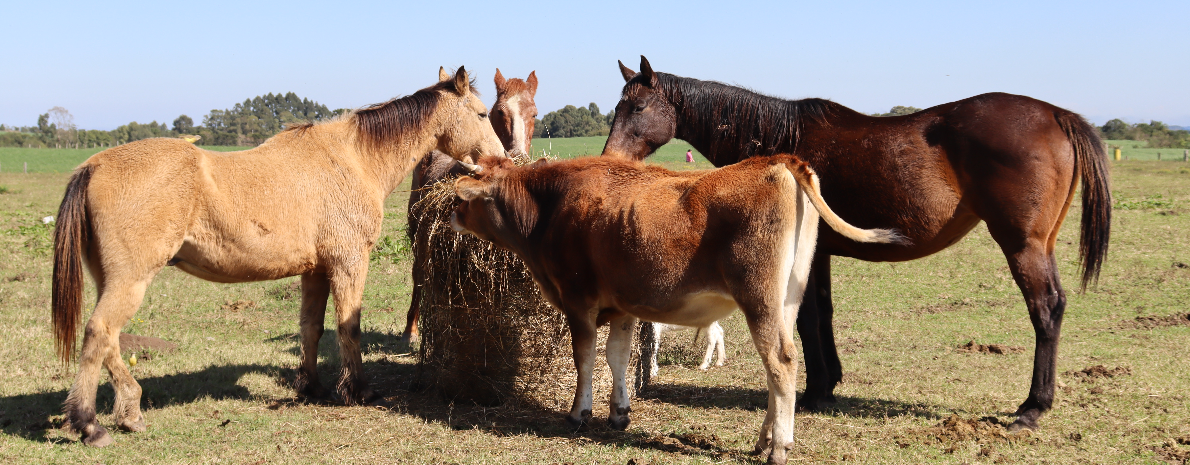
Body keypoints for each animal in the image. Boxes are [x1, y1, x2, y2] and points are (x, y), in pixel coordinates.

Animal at [49, 66, 506, 447]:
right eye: (482, 114)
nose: (500, 161)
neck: (353, 159)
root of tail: (93, 166)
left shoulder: (316, 270)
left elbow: (312, 328)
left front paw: (312, 387)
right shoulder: (349, 264)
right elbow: (349, 328)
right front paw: (357, 390)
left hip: (114, 281)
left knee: (108, 340)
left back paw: (129, 411)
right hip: (131, 280)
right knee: (99, 334)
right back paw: (90, 424)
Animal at [399, 68, 540, 344]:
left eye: (534, 114)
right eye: (500, 112)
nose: (517, 156)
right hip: (418, 233)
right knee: (418, 274)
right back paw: (411, 329)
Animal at [449, 155, 894, 461]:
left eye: (463, 197)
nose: (451, 213)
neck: (550, 209)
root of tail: (777, 159)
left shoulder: (578, 299)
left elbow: (585, 357)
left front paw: (579, 413)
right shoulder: (623, 305)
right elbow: (617, 356)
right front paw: (619, 413)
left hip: (760, 297)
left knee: (781, 361)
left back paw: (778, 448)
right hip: (788, 298)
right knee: (776, 368)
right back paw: (764, 439)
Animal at [599, 56, 1109, 430]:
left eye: (637, 108)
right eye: (616, 109)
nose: (610, 159)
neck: (779, 139)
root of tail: (1056, 115)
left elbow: (807, 321)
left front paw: (815, 390)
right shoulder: (820, 254)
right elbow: (821, 316)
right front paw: (828, 385)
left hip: (1023, 245)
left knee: (1046, 309)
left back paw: (1032, 408)